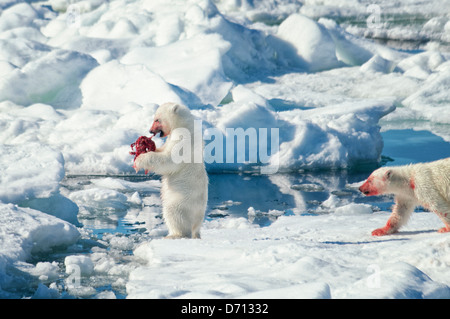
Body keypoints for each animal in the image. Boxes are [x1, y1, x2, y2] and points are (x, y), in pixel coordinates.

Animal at [134, 104, 207, 239]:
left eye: (157, 119)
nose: (150, 131)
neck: (185, 125)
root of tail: (196, 226)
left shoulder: (182, 139)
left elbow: (169, 160)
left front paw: (140, 159)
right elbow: (163, 150)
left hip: (181, 201)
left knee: (173, 213)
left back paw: (173, 235)